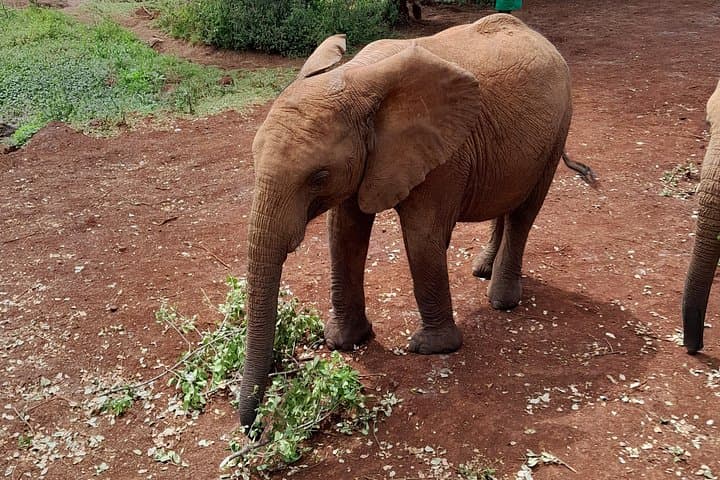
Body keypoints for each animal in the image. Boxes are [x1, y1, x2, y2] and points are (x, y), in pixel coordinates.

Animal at [238, 14, 580, 427]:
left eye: (318, 176)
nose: (252, 428)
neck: (358, 79)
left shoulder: (443, 157)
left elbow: (421, 237)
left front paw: (431, 349)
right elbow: (344, 236)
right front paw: (344, 341)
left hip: (559, 127)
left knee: (525, 211)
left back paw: (502, 300)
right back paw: (483, 270)